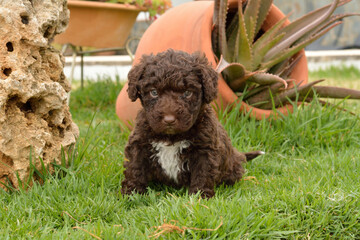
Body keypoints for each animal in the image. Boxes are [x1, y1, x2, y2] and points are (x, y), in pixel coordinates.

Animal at [119, 49, 262, 198]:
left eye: (187, 93)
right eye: (154, 92)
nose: (169, 120)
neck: (171, 137)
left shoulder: (205, 149)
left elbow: (202, 173)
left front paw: (200, 197)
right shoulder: (139, 142)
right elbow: (135, 167)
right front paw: (132, 193)